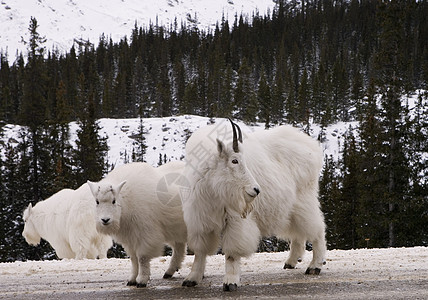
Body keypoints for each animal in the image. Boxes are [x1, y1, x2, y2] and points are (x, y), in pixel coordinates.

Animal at [180, 119, 324, 290]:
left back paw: (315, 266)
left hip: (304, 202)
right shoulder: (200, 219)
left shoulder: (235, 219)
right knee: (298, 234)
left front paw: (230, 282)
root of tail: (312, 147)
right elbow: (200, 251)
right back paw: (291, 262)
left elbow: (232, 252)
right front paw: (192, 279)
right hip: (289, 211)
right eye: (234, 160)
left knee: (318, 229)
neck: (213, 188)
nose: (256, 190)